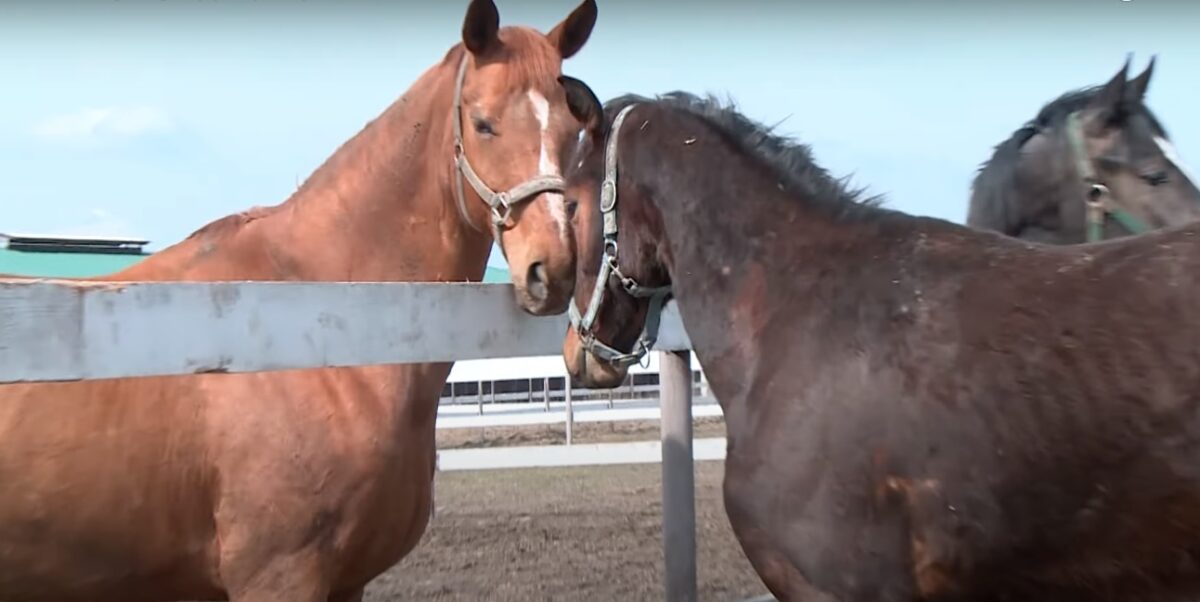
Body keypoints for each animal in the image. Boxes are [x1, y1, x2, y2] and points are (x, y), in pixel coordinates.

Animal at [0, 2, 600, 599]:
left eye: (573, 131)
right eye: (482, 123)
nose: (554, 269)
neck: (320, 327)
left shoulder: (348, 582)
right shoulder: (279, 577)